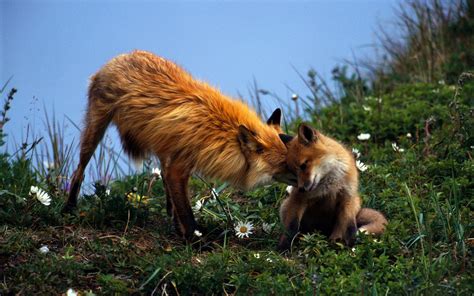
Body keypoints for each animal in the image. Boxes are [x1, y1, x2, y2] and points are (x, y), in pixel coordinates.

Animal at [65, 51, 296, 239]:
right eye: (285, 164)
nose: (305, 181)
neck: (219, 132)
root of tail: (119, 57)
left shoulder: (178, 164)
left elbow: (179, 203)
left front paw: (181, 229)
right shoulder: (178, 169)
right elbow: (186, 213)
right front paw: (196, 241)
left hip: (161, 147)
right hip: (95, 130)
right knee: (78, 171)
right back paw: (69, 208)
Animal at [278, 123, 386, 251]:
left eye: (303, 165)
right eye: (293, 172)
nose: (301, 189)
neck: (329, 183)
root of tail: (322, 230)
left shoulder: (347, 197)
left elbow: (349, 227)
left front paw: (351, 244)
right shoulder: (298, 200)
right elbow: (291, 227)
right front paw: (283, 246)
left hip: (354, 203)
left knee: (341, 227)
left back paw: (336, 241)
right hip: (285, 206)